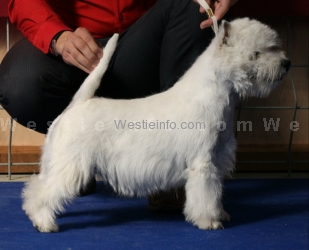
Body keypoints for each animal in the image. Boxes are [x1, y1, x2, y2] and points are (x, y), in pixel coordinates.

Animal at [21, 17, 288, 232]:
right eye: (257, 53)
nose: (286, 64)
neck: (218, 95)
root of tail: (79, 103)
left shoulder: (218, 160)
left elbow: (216, 194)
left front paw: (220, 213)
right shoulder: (203, 164)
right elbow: (206, 196)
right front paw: (209, 221)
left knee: (37, 185)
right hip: (70, 164)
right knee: (43, 191)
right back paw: (43, 222)